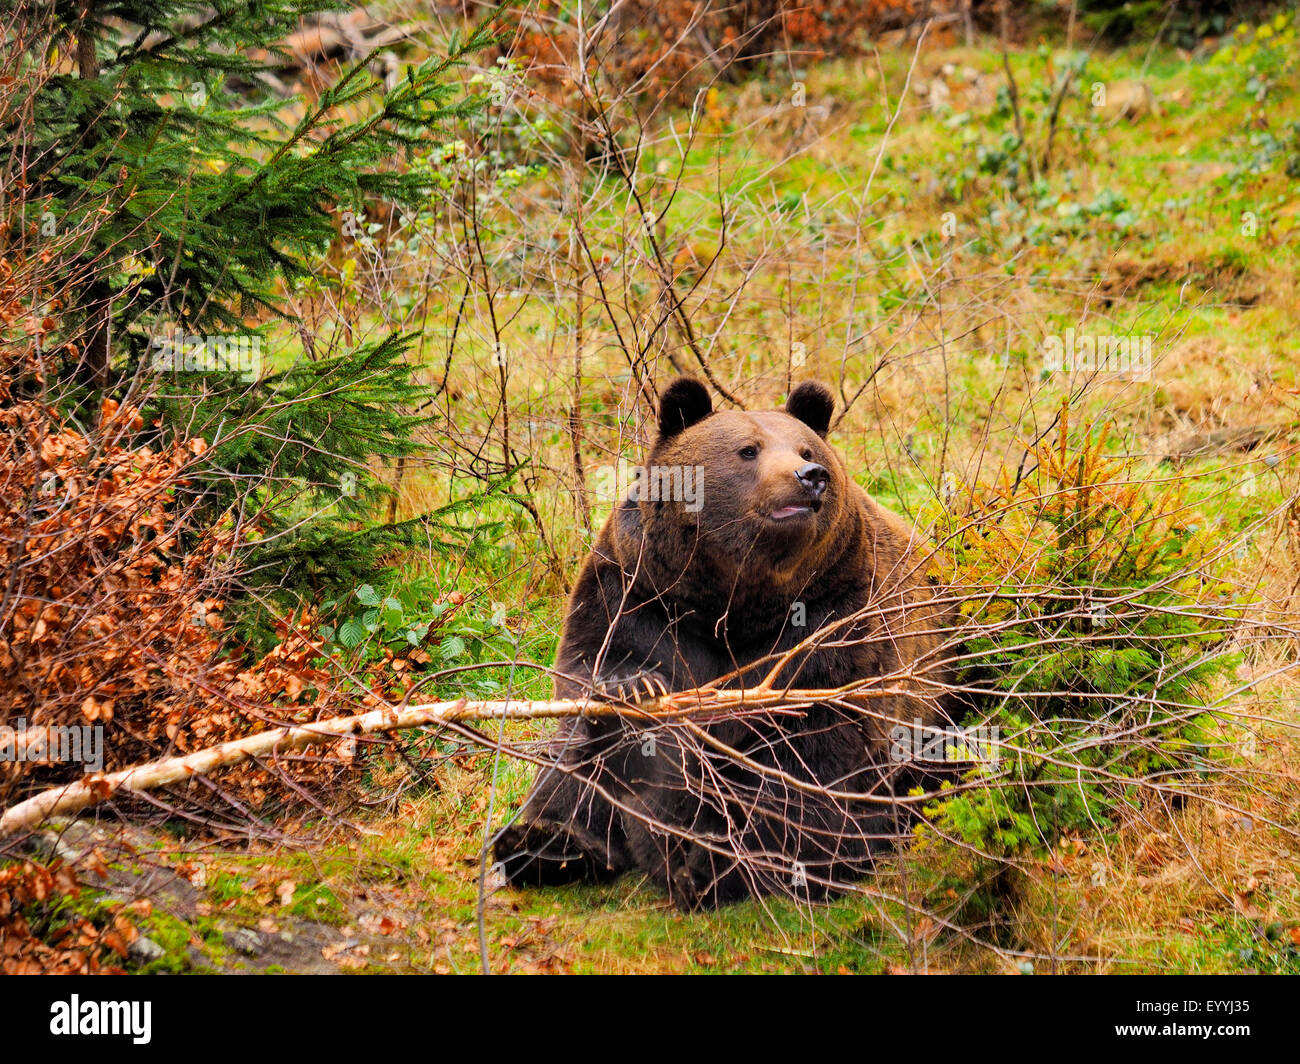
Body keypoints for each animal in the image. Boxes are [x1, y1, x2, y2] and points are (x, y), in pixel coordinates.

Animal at [488, 372, 956, 905]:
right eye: (748, 450)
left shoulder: (837, 613)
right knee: (575, 760)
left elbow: (814, 748)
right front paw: (635, 687)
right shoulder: (639, 591)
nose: (811, 474)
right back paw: (545, 844)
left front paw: (733, 859)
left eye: (804, 447)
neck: (734, 601)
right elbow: (592, 667)